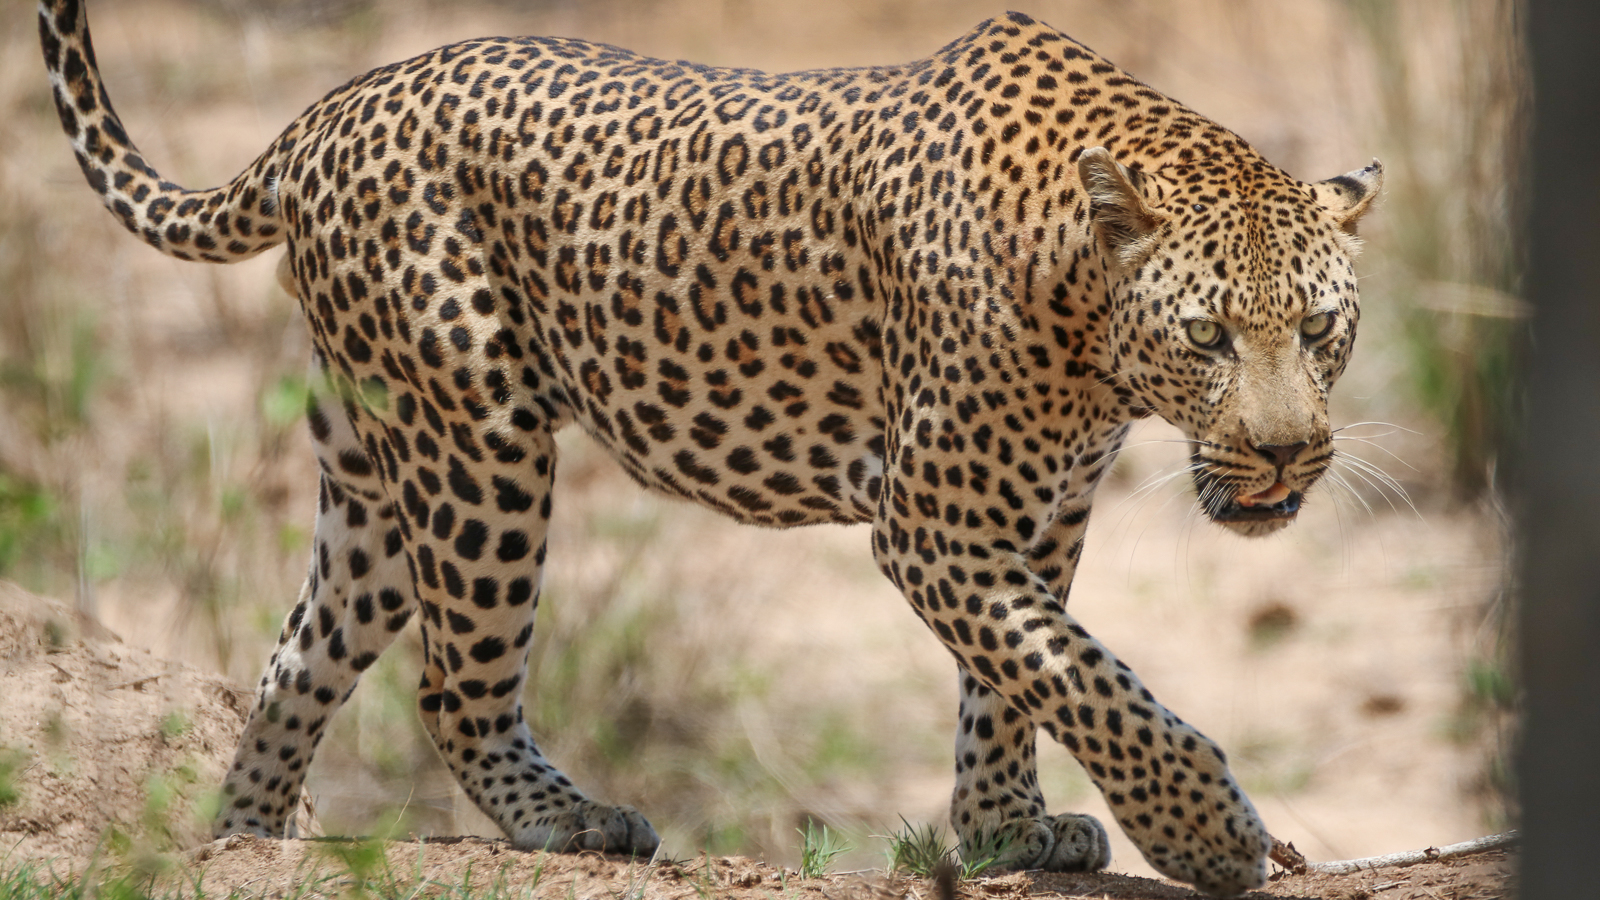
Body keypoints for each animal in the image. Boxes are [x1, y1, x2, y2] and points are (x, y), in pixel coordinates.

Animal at [39, 0, 1381, 894]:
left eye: (1320, 328)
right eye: (1208, 335)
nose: (1285, 456)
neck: (1087, 324)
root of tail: (321, 117)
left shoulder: (1038, 519)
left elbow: (1015, 679)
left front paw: (1008, 831)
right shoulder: (934, 526)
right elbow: (1082, 676)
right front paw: (1207, 832)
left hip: (373, 471)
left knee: (295, 658)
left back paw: (246, 837)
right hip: (481, 442)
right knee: (450, 683)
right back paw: (570, 824)